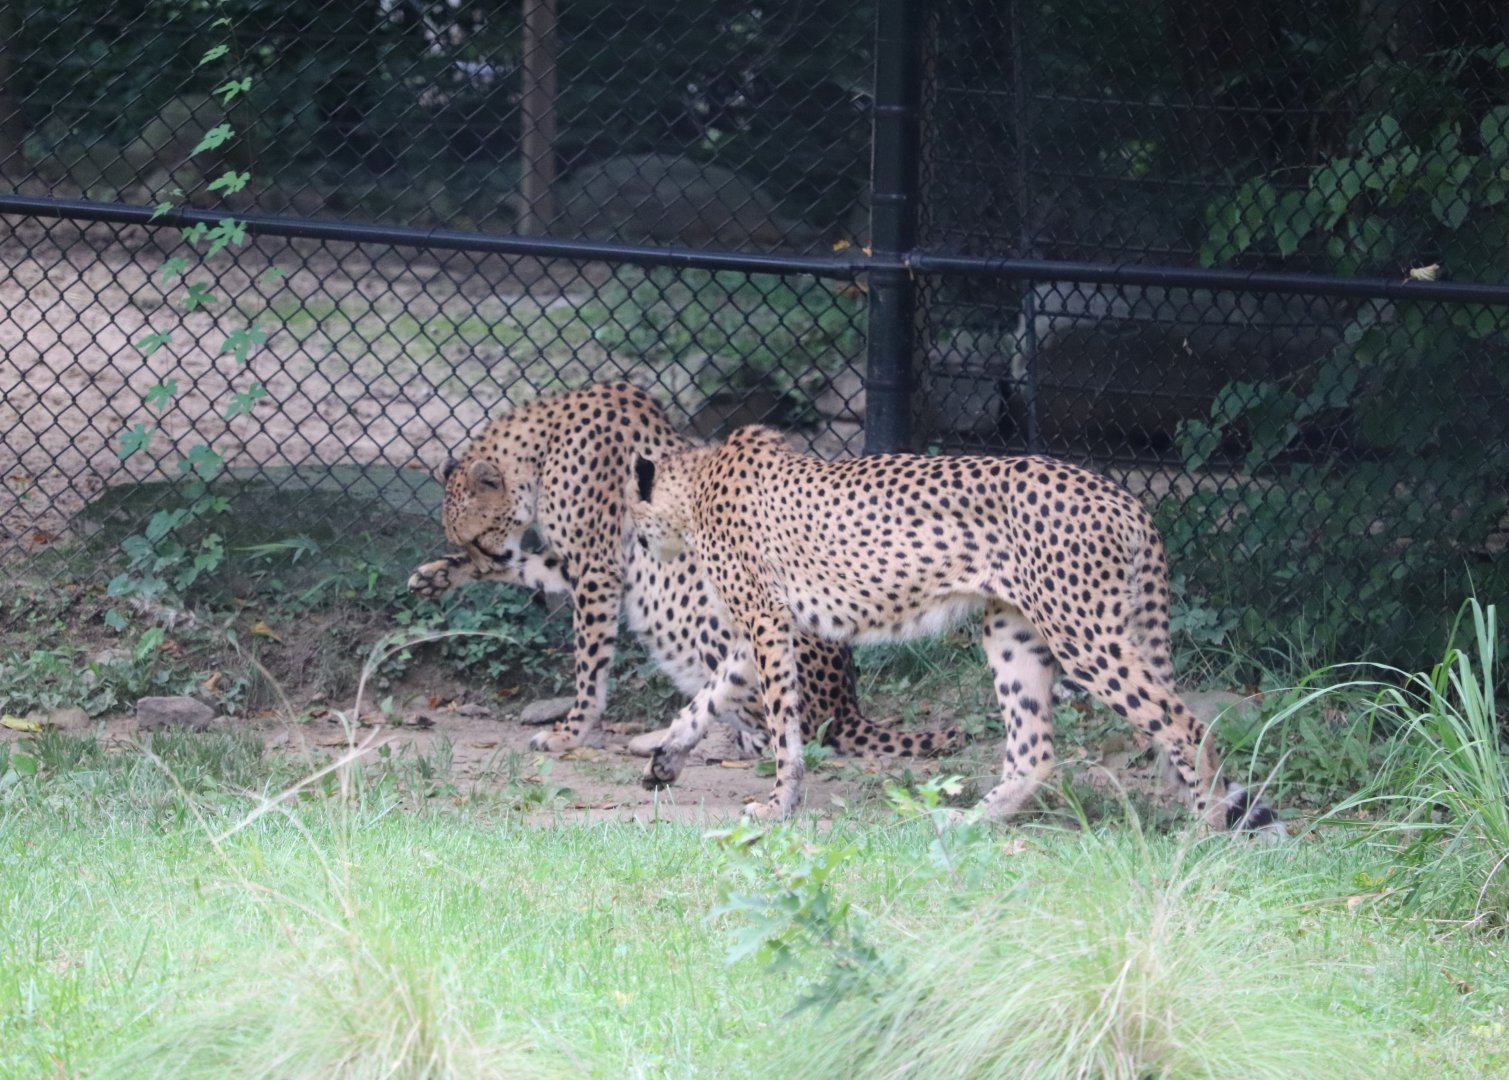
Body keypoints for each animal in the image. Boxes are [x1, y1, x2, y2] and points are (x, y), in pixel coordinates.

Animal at [408, 382, 957, 763]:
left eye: (480, 538)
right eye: (465, 544)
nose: (484, 556)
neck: (544, 445)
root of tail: (850, 708)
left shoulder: (598, 571)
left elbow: (589, 667)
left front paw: (570, 732)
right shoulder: (586, 567)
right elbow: (529, 569)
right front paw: (436, 575)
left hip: (708, 615)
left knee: (771, 724)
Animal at [626, 423, 1281, 833]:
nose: (637, 547)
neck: (697, 480)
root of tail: (1122, 496)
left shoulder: (767, 623)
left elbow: (782, 726)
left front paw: (778, 806)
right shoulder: (761, 631)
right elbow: (709, 695)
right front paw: (667, 755)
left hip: (1085, 636)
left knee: (1184, 725)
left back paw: (1202, 835)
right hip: (1014, 632)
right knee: (1035, 752)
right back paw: (967, 822)